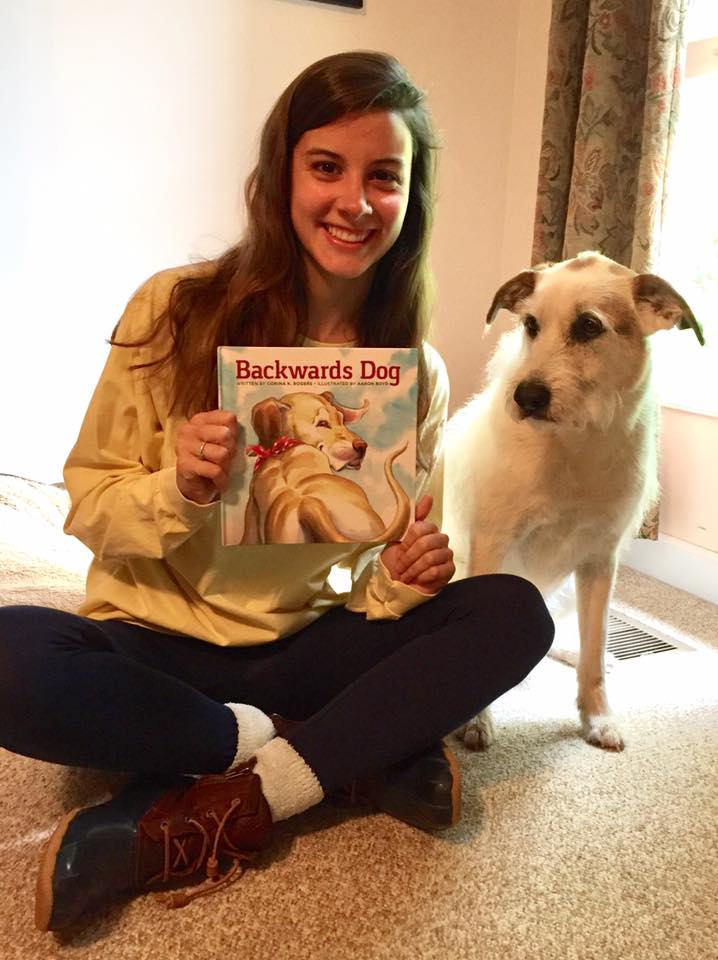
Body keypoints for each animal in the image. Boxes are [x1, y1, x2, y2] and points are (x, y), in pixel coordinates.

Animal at [444, 251, 703, 751]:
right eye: (530, 324)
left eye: (588, 326)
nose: (525, 396)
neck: (573, 442)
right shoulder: (490, 542)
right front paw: (476, 720)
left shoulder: (600, 560)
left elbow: (595, 649)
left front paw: (597, 716)